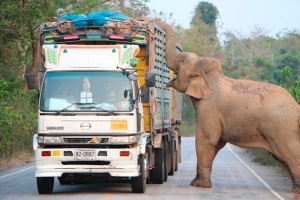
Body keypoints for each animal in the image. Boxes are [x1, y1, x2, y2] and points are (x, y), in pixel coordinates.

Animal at [141, 17, 300, 195]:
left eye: (181, 61)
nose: (147, 19)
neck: (211, 76)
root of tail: (297, 107)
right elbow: (217, 143)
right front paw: (195, 182)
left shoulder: (209, 108)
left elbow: (206, 140)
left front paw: (199, 185)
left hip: (282, 128)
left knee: (290, 154)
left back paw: (296, 192)